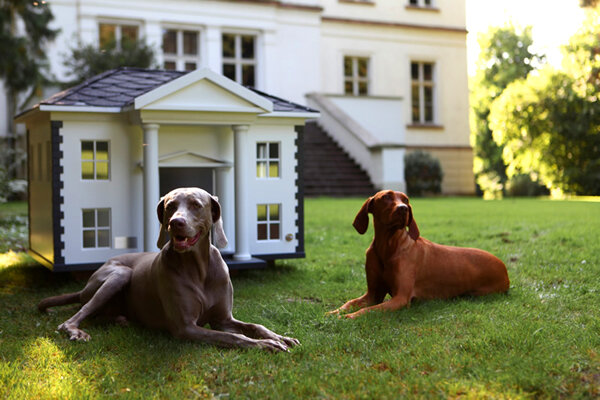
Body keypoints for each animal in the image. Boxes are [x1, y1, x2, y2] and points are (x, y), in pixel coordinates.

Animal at [37, 188, 298, 350]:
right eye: (170, 206)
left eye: (196, 205)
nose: (175, 223)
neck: (199, 269)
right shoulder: (186, 328)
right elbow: (232, 337)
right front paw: (264, 345)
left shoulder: (223, 318)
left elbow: (254, 326)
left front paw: (281, 337)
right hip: (118, 274)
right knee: (76, 315)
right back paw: (75, 330)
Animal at [328, 191, 510, 318]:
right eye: (386, 197)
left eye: (406, 200)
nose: (403, 209)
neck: (388, 246)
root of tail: (504, 267)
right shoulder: (373, 294)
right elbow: (350, 302)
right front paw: (334, 312)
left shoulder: (401, 298)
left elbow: (369, 310)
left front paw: (349, 317)